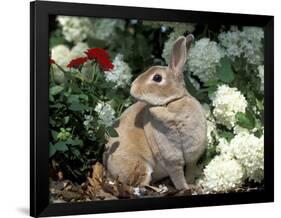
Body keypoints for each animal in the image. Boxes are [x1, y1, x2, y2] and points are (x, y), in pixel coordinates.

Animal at [102, 34, 206, 191]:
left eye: (157, 78)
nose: (132, 88)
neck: (171, 103)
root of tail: (108, 172)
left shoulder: (192, 155)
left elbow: (190, 171)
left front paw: (192, 184)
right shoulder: (171, 157)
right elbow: (178, 176)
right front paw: (185, 188)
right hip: (140, 165)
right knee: (142, 185)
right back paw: (160, 188)